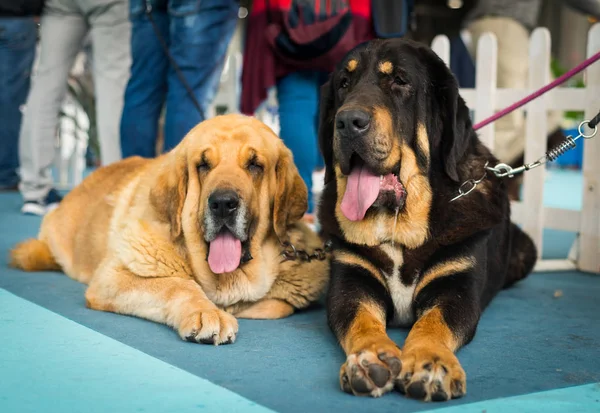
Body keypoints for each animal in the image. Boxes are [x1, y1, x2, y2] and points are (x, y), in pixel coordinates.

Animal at [316, 38, 536, 400]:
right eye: (343, 84)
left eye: (400, 81)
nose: (347, 121)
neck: (398, 231)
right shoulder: (351, 280)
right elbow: (360, 321)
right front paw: (370, 357)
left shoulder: (456, 285)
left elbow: (432, 324)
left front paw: (430, 363)